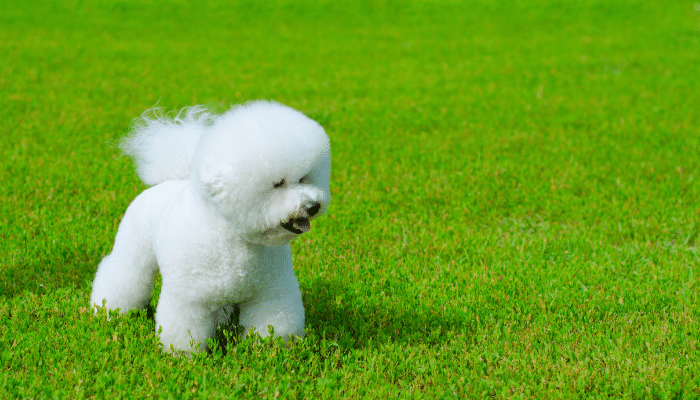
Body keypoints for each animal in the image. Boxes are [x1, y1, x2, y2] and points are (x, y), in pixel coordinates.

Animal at [90, 101, 330, 354]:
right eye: (277, 184)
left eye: (304, 178)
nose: (313, 206)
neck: (234, 239)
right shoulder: (190, 298)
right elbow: (185, 330)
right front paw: (184, 355)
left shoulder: (270, 293)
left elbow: (272, 322)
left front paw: (269, 350)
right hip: (133, 250)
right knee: (123, 275)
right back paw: (108, 311)